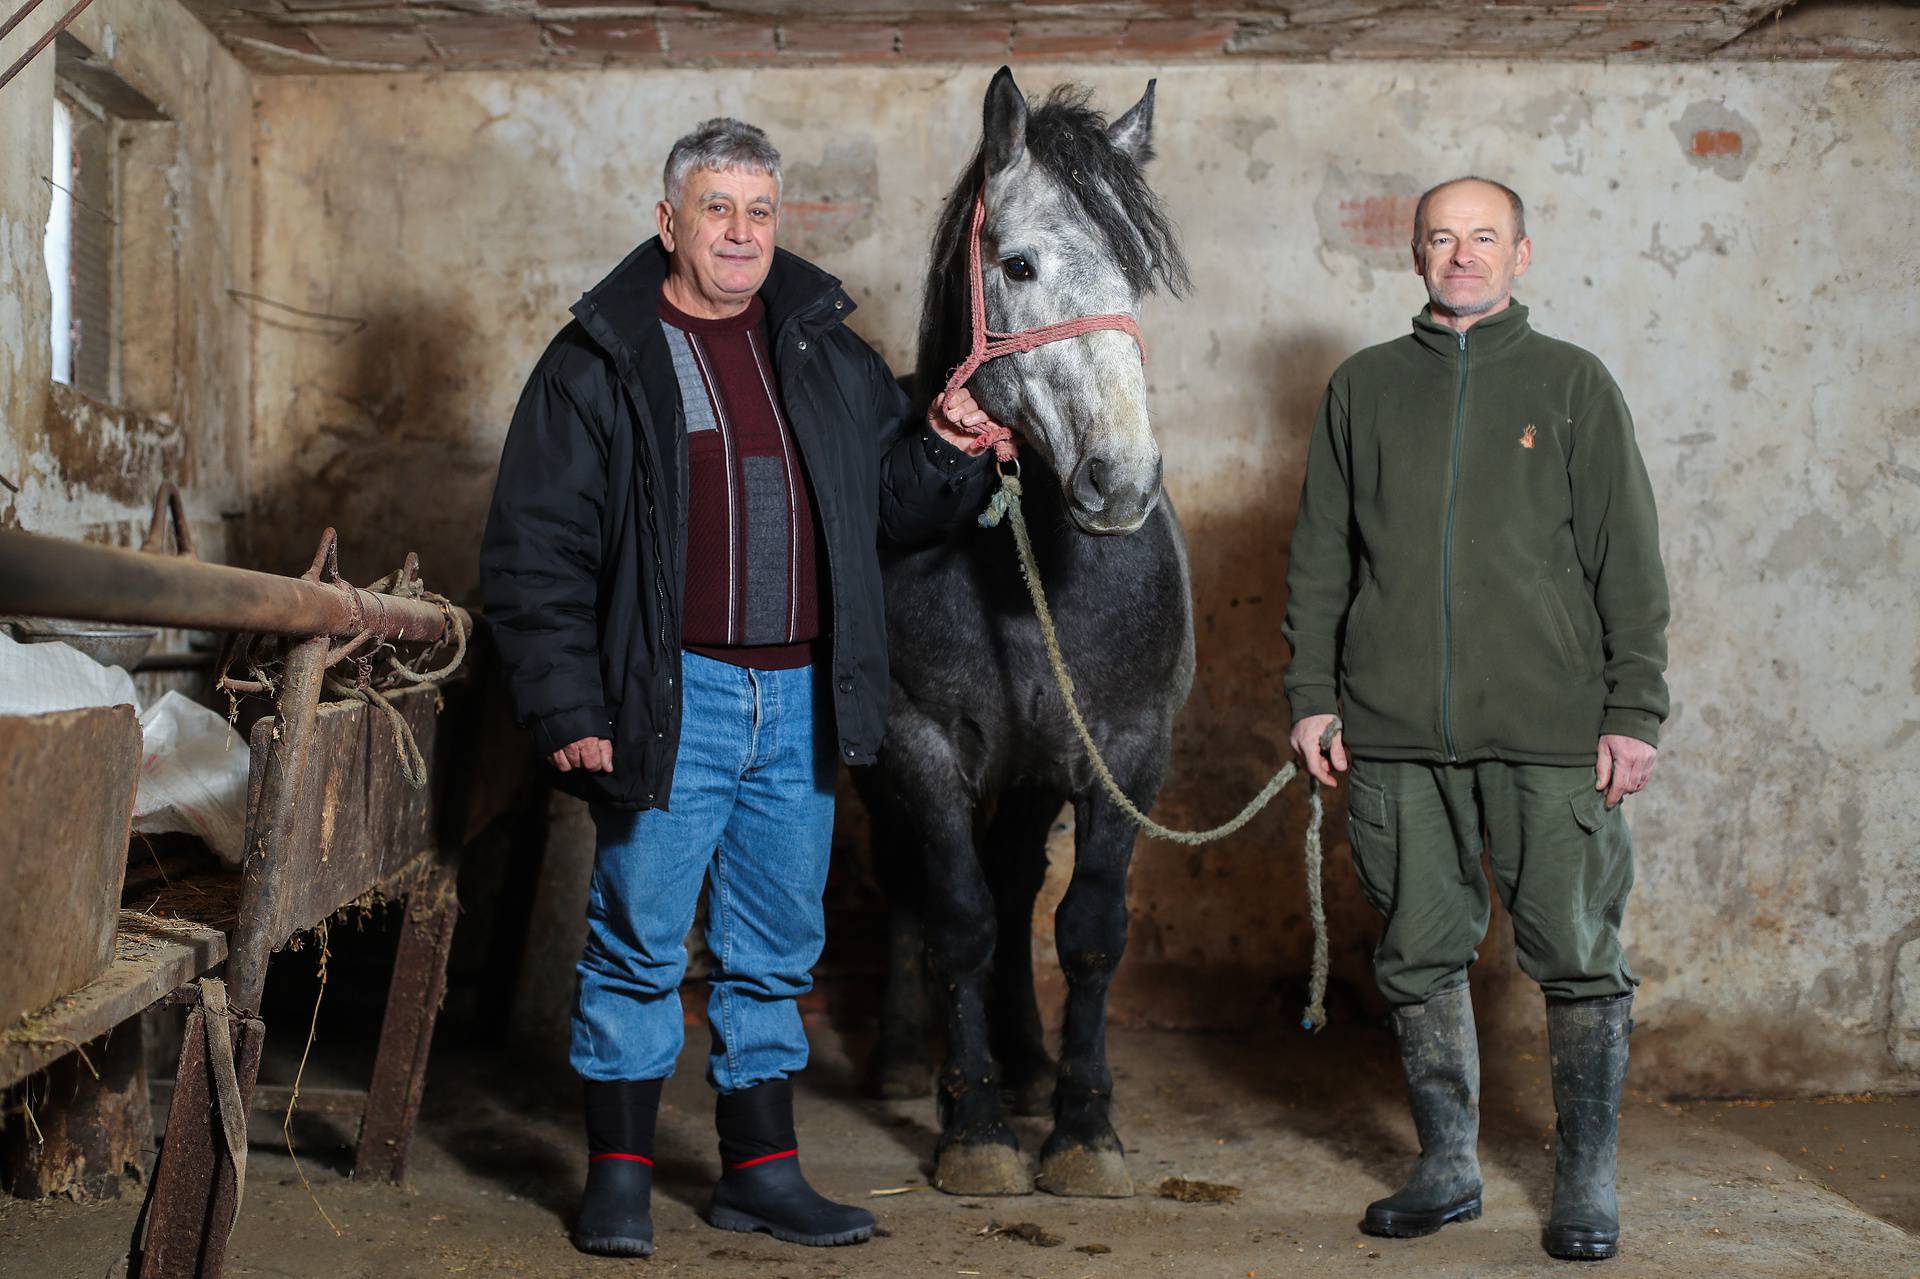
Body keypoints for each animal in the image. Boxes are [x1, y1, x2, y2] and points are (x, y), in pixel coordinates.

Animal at [852, 69, 1190, 1198]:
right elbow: (958, 920)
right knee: (916, 886)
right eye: (1018, 264)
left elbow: (1086, 932)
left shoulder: (1125, 750)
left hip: (1039, 770)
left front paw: (1083, 1126)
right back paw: (907, 1059)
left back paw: (1031, 1063)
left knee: (1018, 884)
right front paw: (978, 1130)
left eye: (1136, 276)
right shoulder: (918, 747)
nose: (1121, 479)